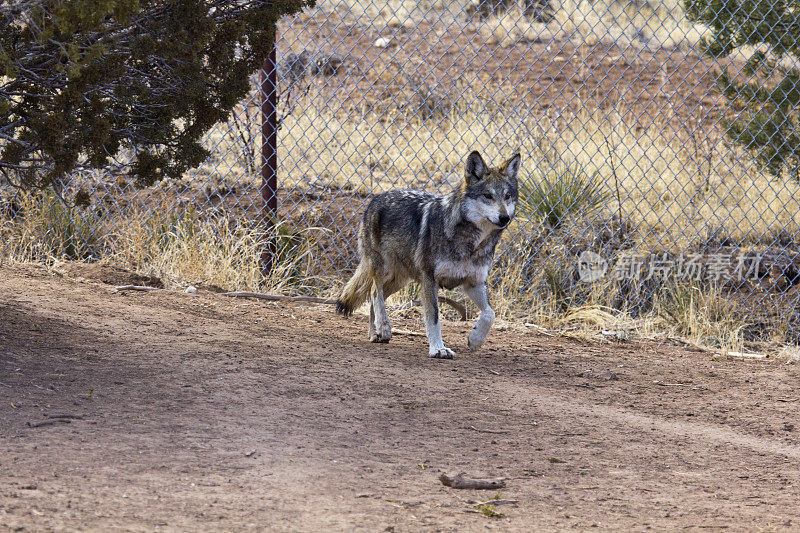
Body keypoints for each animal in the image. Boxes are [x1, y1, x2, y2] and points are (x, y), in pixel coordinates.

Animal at [336, 150, 520, 358]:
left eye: (507, 196)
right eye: (487, 195)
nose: (504, 217)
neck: (472, 243)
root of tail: (377, 197)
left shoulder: (475, 282)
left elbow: (490, 313)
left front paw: (475, 339)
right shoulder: (430, 280)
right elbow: (433, 318)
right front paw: (438, 348)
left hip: (400, 280)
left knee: (373, 297)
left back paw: (376, 334)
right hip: (383, 268)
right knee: (375, 293)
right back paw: (383, 327)